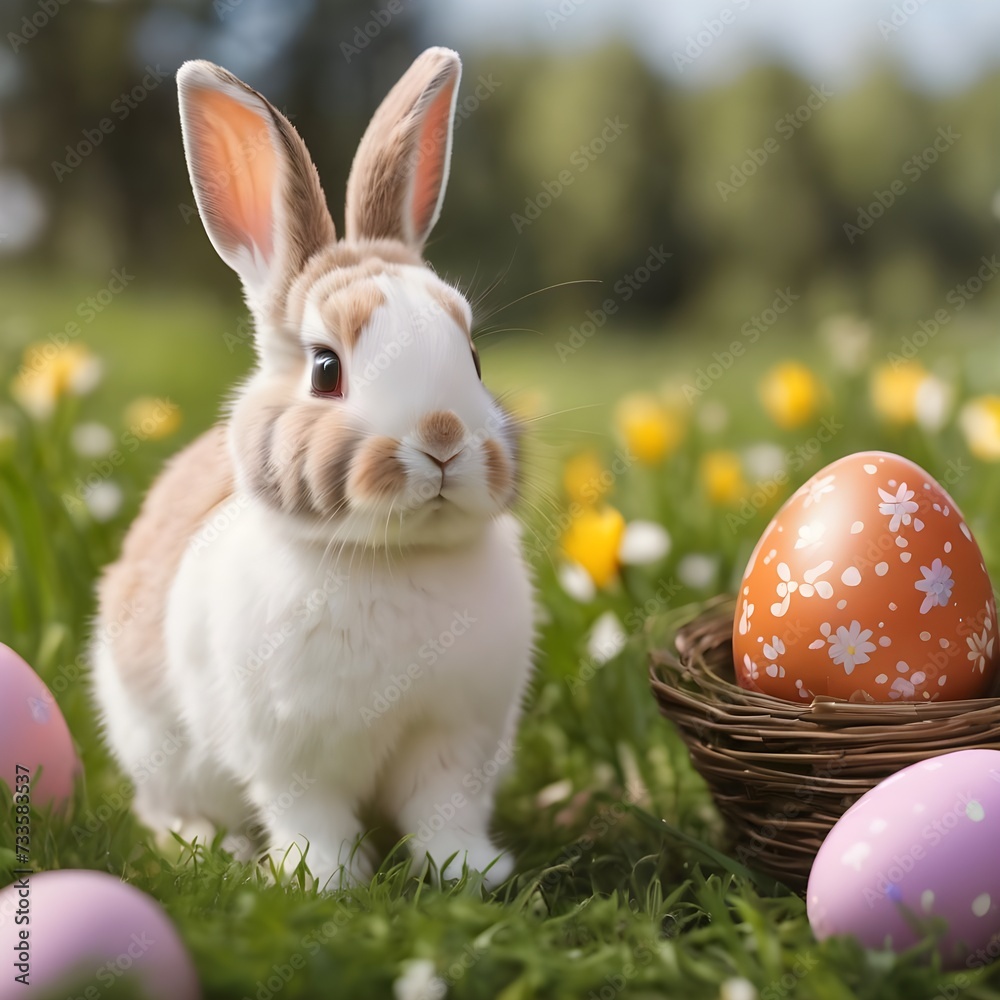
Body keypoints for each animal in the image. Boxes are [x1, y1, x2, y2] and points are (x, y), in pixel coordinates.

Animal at [90, 47, 535, 889]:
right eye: (327, 368)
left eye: (473, 357)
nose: (442, 437)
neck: (392, 557)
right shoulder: (291, 757)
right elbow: (312, 818)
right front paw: (322, 882)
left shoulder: (452, 740)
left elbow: (444, 811)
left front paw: (474, 873)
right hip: (150, 745)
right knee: (158, 810)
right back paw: (208, 847)